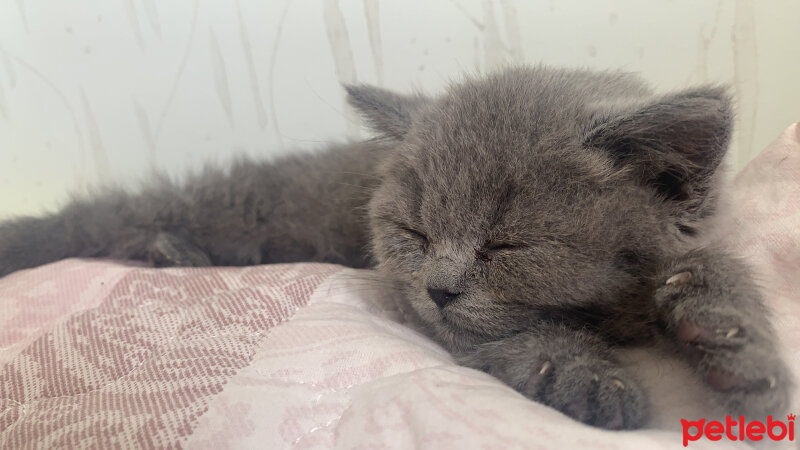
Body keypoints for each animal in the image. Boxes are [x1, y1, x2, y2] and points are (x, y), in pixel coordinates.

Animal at [0, 66, 792, 428]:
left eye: (509, 243)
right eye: (413, 233)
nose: (440, 286)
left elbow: (715, 265)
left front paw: (740, 349)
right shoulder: (428, 312)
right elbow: (519, 334)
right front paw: (586, 375)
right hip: (236, 208)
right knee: (104, 216)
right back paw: (153, 245)